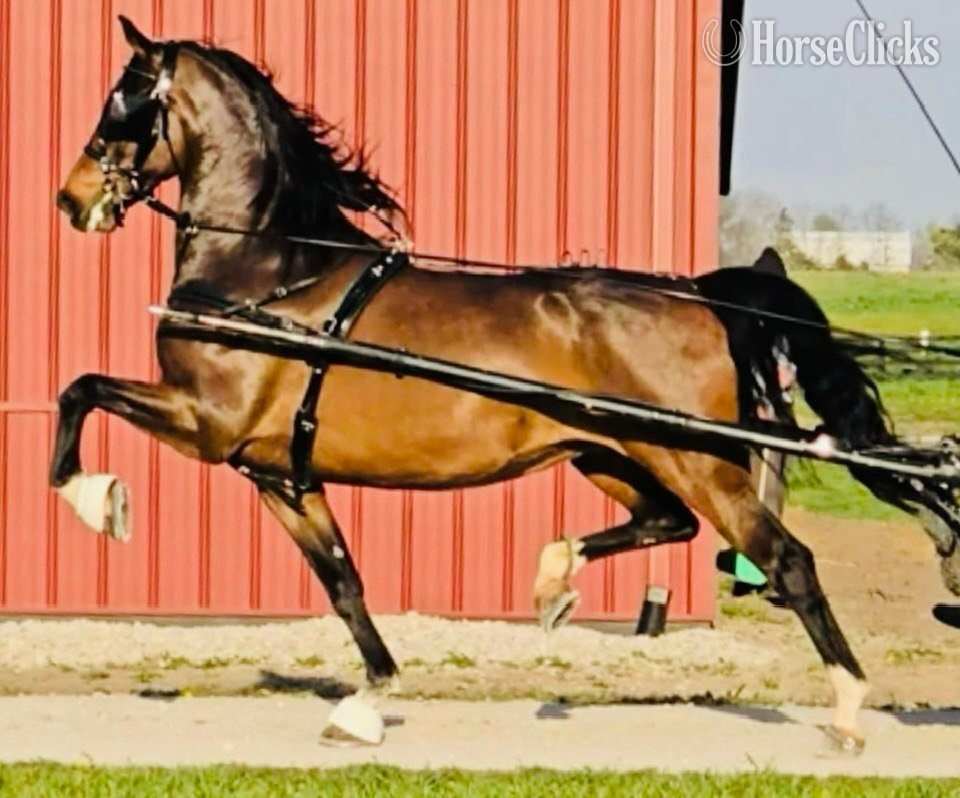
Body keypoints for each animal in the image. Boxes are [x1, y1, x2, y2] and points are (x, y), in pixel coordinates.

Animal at [53, 17, 960, 749]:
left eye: (122, 100)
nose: (71, 199)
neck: (271, 274)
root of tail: (702, 293)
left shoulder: (206, 424)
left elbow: (80, 389)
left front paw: (99, 499)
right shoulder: (277, 471)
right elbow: (344, 581)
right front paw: (367, 702)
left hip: (695, 459)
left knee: (785, 559)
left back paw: (847, 707)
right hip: (608, 450)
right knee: (667, 522)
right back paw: (555, 575)